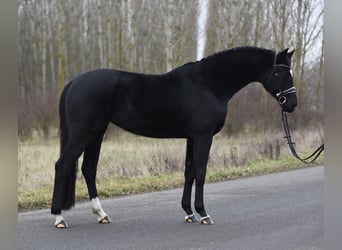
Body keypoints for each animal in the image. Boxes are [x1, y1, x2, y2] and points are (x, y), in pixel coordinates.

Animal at [50, 47, 296, 229]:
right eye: (281, 73)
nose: (292, 104)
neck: (209, 83)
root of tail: (74, 82)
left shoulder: (191, 138)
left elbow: (189, 172)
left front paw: (189, 212)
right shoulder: (203, 136)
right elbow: (201, 172)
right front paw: (203, 214)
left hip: (96, 133)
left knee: (88, 169)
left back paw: (101, 214)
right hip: (85, 132)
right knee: (63, 165)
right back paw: (59, 218)